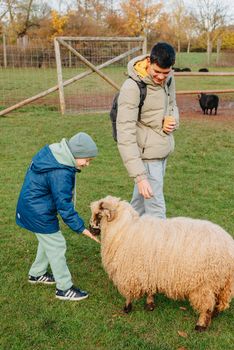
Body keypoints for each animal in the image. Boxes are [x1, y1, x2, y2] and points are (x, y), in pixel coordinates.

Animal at [88, 196, 233, 332]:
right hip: (221, 284)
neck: (123, 229)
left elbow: (129, 293)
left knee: (206, 306)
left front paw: (127, 308)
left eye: (98, 214)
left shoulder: (129, 272)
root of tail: (229, 246)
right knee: (217, 302)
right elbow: (149, 290)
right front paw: (150, 304)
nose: (90, 229)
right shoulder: (148, 271)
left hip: (205, 284)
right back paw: (213, 316)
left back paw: (201, 325)